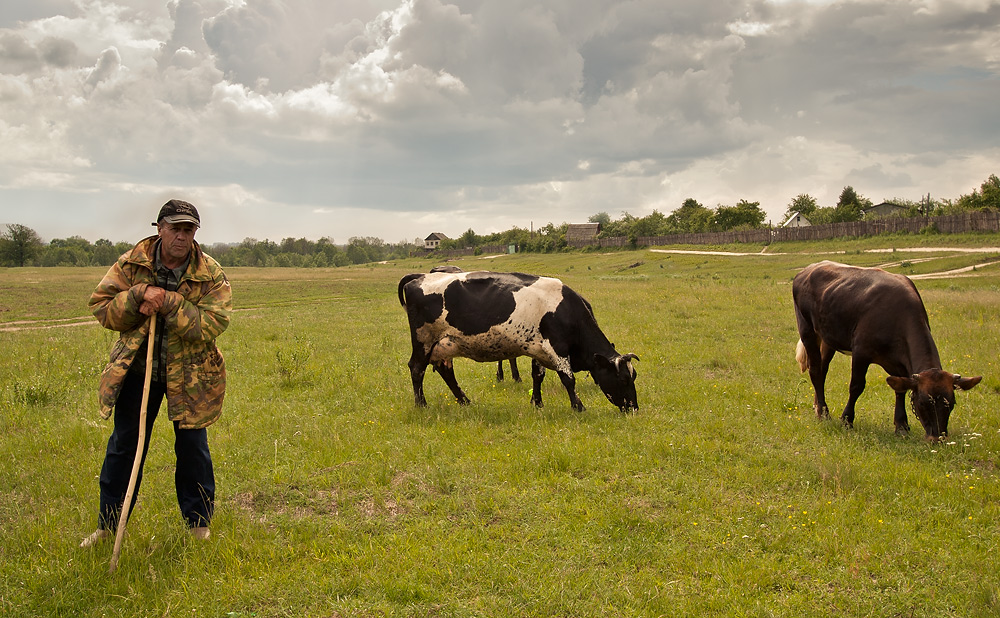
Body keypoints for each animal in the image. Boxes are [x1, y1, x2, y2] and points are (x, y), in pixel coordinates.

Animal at [394, 270, 636, 412]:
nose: (634, 408)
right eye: (624, 379)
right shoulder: (557, 347)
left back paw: (464, 401)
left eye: (633, 377)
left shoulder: (539, 348)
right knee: (417, 368)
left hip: (444, 344)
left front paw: (537, 403)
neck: (566, 311)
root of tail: (420, 276)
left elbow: (538, 376)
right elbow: (568, 379)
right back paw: (421, 405)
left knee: (446, 371)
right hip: (424, 339)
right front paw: (578, 407)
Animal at [792, 260, 980, 438]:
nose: (937, 437)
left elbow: (900, 389)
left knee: (823, 370)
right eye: (922, 402)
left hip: (828, 338)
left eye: (951, 403)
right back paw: (824, 413)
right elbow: (856, 386)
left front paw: (902, 426)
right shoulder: (861, 352)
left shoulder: (898, 363)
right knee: (815, 370)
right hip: (807, 329)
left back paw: (818, 407)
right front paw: (846, 420)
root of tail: (807, 270)